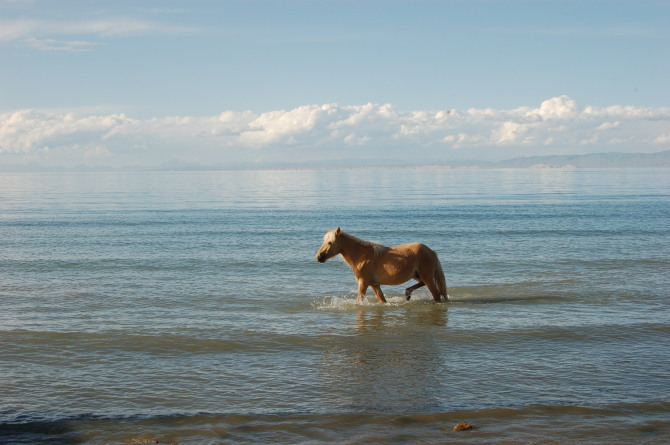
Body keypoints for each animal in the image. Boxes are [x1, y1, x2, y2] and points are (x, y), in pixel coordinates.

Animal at [316, 227, 452, 304]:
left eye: (330, 242)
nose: (318, 257)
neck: (362, 256)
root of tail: (431, 251)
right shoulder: (375, 285)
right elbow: (382, 300)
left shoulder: (363, 283)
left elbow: (359, 300)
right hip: (417, 275)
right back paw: (407, 293)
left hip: (427, 276)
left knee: (436, 294)